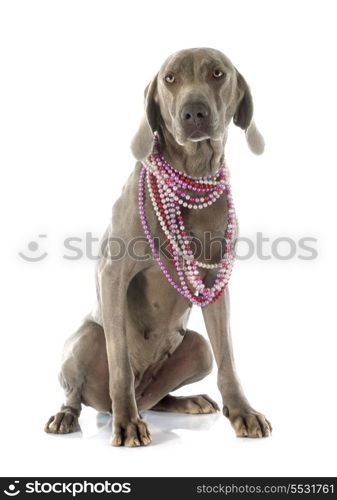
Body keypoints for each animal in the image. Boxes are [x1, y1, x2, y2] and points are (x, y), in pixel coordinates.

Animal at [45, 47, 270, 446]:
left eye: (217, 73)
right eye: (170, 79)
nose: (193, 113)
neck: (193, 173)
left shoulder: (216, 283)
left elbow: (228, 358)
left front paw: (243, 412)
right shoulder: (112, 273)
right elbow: (119, 361)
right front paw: (127, 423)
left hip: (197, 349)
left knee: (159, 395)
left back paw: (187, 401)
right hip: (87, 338)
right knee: (83, 390)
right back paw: (71, 415)